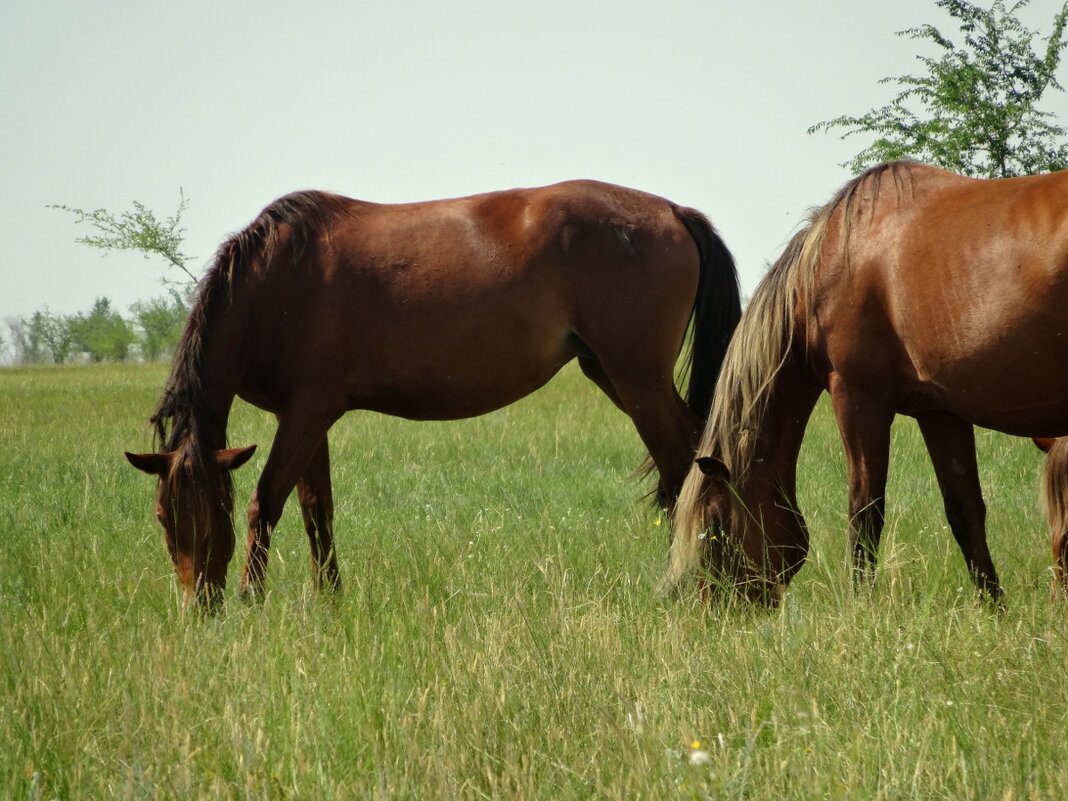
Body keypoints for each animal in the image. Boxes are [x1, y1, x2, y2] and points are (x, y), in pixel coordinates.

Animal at [662, 160, 1068, 606]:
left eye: (715, 526)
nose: (712, 607)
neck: (828, 264)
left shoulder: (858, 399)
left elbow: (864, 510)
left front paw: (861, 603)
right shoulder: (940, 412)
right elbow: (965, 510)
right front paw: (992, 606)